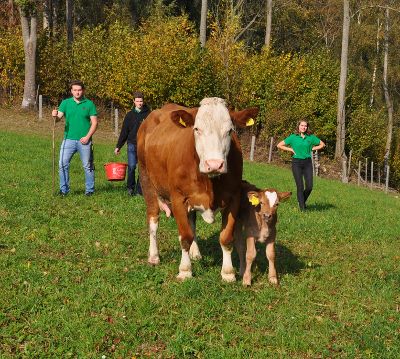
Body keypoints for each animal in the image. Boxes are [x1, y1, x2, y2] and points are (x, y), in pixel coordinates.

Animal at [136, 97, 258, 282]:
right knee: (153, 220)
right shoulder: (178, 197)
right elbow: (185, 236)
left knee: (191, 222)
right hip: (146, 181)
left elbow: (226, 237)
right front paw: (185, 270)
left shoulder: (234, 197)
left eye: (230, 130)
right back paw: (154, 256)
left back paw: (195, 253)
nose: (214, 164)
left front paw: (228, 273)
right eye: (197, 129)